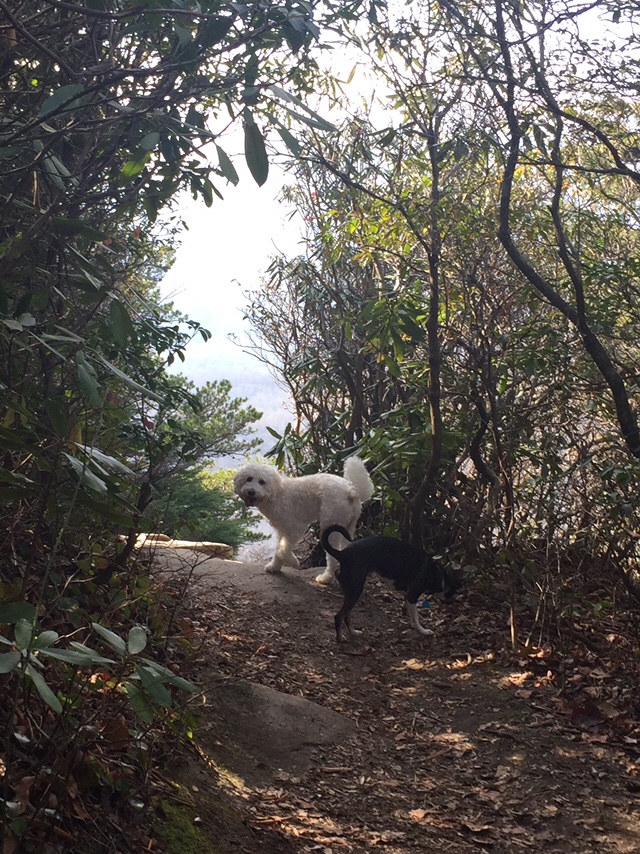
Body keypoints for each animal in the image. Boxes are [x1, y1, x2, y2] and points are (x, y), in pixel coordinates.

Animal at [233, 456, 374, 583]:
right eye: (249, 478)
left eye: (262, 482)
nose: (251, 492)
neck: (275, 493)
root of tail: (351, 490)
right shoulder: (281, 529)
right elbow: (279, 547)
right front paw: (274, 567)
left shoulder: (296, 528)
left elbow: (282, 549)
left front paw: (293, 562)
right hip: (348, 527)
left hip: (331, 525)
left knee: (332, 557)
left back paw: (325, 578)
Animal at [321, 524, 459, 642]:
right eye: (452, 593)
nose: (452, 603)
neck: (439, 576)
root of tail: (343, 553)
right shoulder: (413, 596)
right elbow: (415, 619)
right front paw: (423, 631)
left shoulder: (406, 592)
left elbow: (407, 606)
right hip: (355, 590)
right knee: (339, 616)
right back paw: (340, 638)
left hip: (351, 592)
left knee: (346, 615)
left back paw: (353, 632)